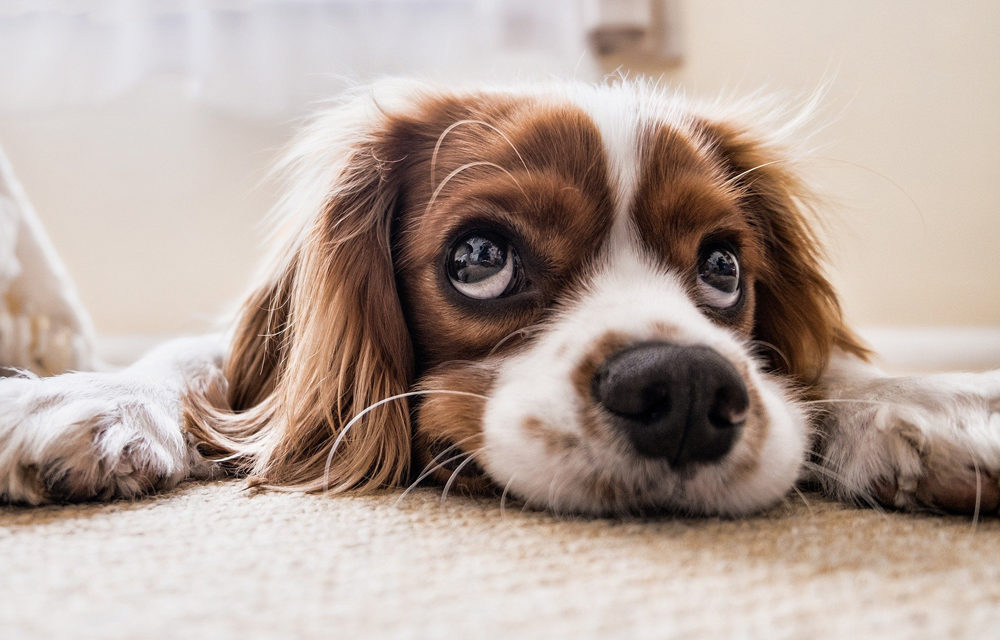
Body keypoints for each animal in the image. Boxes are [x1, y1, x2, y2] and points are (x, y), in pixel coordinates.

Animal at [1, 80, 1000, 516]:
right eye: (479, 257)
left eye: (723, 268)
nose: (683, 389)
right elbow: (198, 361)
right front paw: (84, 397)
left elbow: (829, 369)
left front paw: (929, 403)